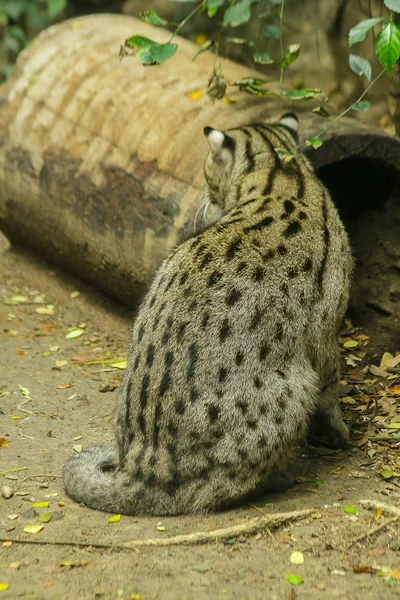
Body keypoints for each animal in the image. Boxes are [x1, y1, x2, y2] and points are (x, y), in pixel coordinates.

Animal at [63, 112, 354, 516]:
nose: (206, 192)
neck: (280, 170)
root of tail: (140, 469)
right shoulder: (325, 330)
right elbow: (331, 384)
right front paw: (338, 433)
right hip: (293, 386)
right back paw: (276, 480)